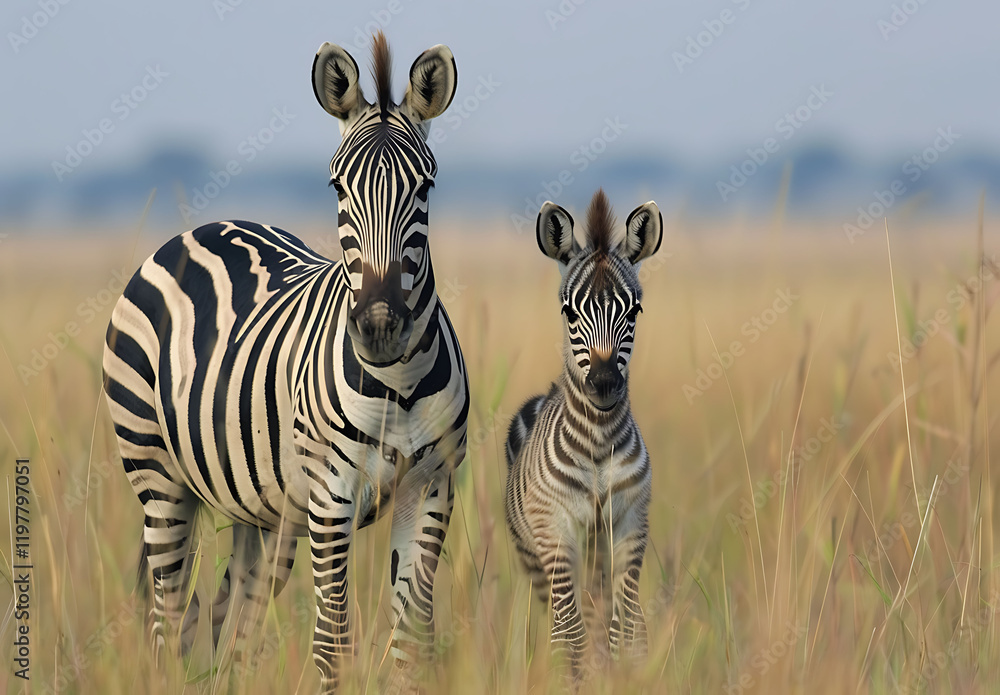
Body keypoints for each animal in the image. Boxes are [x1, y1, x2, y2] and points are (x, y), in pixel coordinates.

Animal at [101, 33, 468, 692]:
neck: (396, 383)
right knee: (169, 621)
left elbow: (409, 643)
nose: (379, 326)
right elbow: (332, 642)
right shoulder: (332, 494)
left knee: (227, 621)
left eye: (425, 189)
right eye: (337, 188)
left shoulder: (431, 488)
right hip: (156, 475)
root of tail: (203, 227)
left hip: (262, 509)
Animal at [504, 189, 662, 681]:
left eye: (634, 311)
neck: (596, 443)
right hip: (538, 558)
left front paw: (622, 677)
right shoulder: (555, 530)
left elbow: (624, 628)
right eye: (569, 311)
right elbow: (570, 633)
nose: (605, 383)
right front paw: (574, 678)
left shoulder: (631, 525)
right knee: (562, 619)